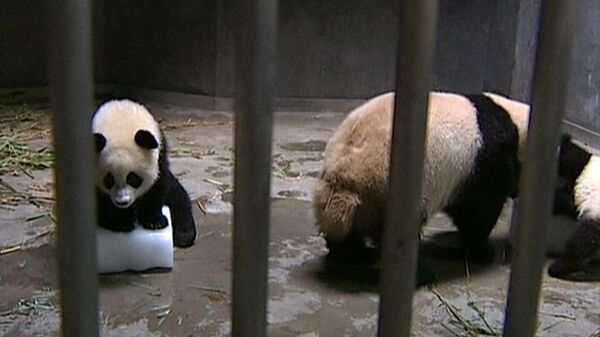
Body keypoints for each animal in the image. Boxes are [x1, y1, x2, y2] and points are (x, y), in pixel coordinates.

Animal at [93, 99, 197, 247]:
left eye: (133, 179)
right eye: (109, 180)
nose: (123, 202)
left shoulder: (159, 156)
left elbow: (157, 186)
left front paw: (154, 221)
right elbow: (100, 201)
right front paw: (121, 222)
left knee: (179, 199)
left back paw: (184, 233)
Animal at [314, 91, 528, 260]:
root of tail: (344, 174)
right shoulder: (487, 160)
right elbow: (480, 209)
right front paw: (481, 250)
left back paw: (348, 251)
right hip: (385, 187)